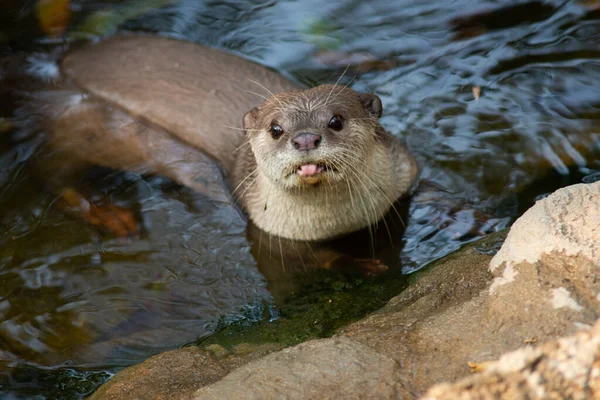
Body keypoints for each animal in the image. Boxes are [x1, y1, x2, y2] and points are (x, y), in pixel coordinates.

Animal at [15, 35, 418, 241]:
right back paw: (109, 215)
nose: (305, 139)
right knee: (46, 171)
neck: (339, 226)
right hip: (78, 132)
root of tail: (58, 62)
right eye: (276, 129)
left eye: (335, 120)